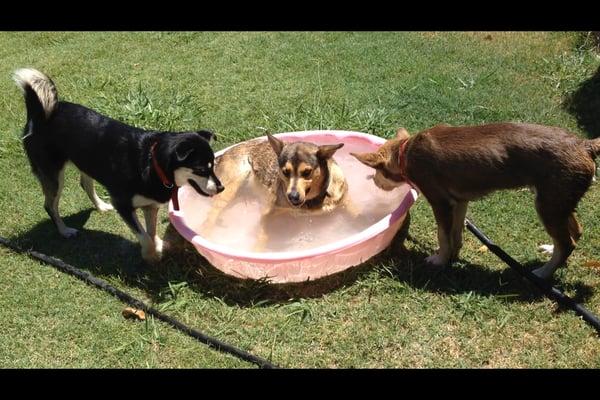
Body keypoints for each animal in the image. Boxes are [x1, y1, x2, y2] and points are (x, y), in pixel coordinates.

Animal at [14, 69, 225, 262]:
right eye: (201, 170)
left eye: (213, 166)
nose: (221, 188)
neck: (151, 163)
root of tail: (38, 115)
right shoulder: (123, 205)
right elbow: (144, 236)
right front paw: (149, 255)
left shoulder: (150, 206)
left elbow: (151, 232)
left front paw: (156, 246)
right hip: (53, 175)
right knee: (50, 206)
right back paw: (64, 230)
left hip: (87, 161)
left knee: (85, 184)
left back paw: (100, 206)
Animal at [352, 123, 600, 280]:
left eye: (377, 171)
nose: (374, 182)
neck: (406, 153)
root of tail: (584, 144)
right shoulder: (460, 201)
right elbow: (455, 233)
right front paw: (454, 255)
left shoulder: (440, 202)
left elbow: (443, 235)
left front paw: (440, 260)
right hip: (559, 202)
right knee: (574, 233)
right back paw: (552, 253)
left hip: (548, 205)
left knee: (567, 243)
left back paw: (543, 273)